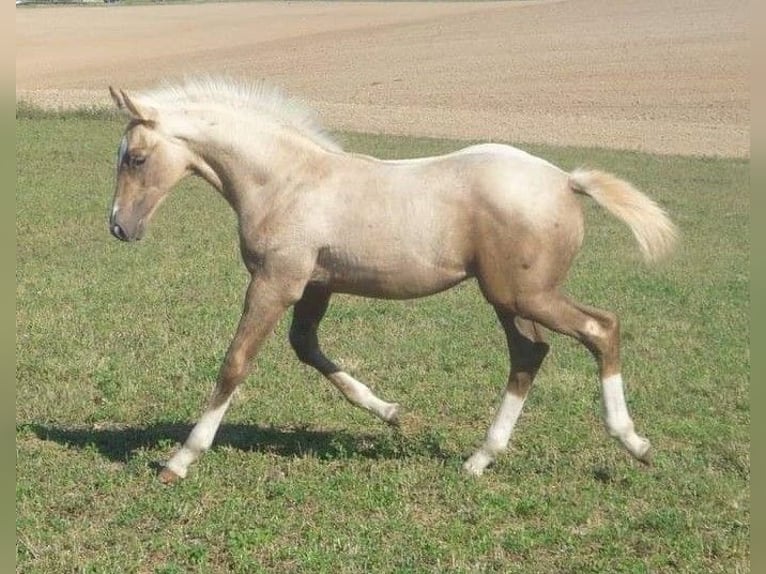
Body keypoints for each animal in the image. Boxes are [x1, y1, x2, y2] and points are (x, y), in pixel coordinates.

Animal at [108, 76, 680, 484]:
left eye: (136, 157)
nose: (119, 228)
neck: (287, 181)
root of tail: (566, 181)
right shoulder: (316, 285)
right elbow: (307, 347)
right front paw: (391, 413)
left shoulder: (276, 283)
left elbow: (236, 362)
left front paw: (180, 459)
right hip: (507, 297)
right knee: (529, 354)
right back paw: (480, 459)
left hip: (526, 293)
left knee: (600, 329)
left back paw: (634, 443)